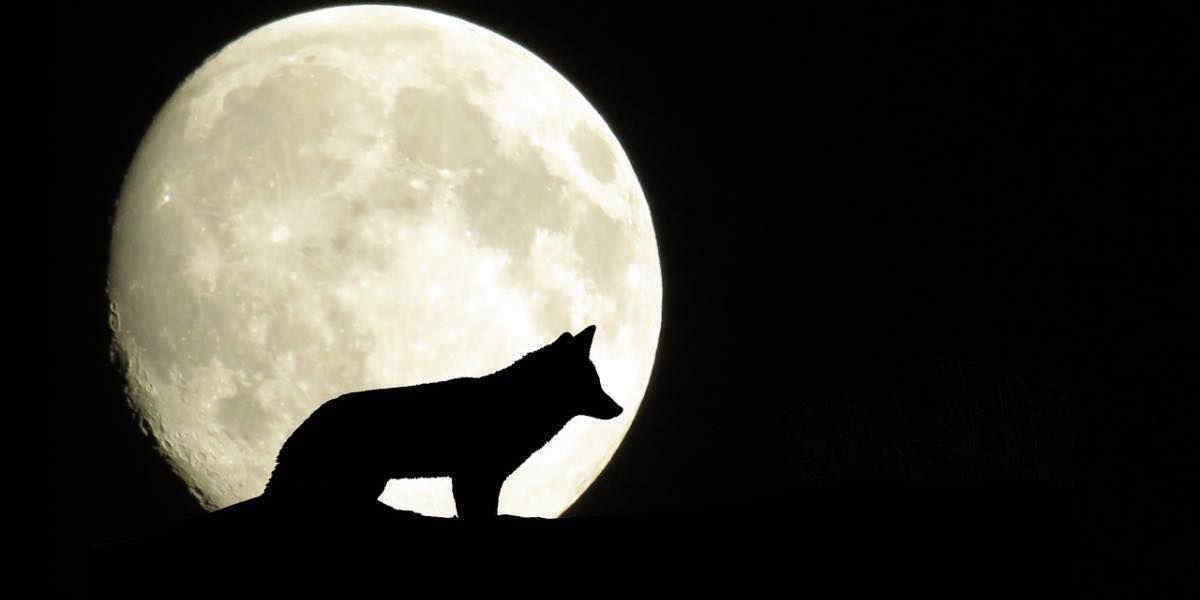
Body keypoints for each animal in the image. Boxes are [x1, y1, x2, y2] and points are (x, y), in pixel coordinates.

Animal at [263, 325, 622, 519]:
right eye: (593, 383)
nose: (619, 409)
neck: (517, 403)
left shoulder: (482, 479)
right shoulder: (473, 477)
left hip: (371, 481)